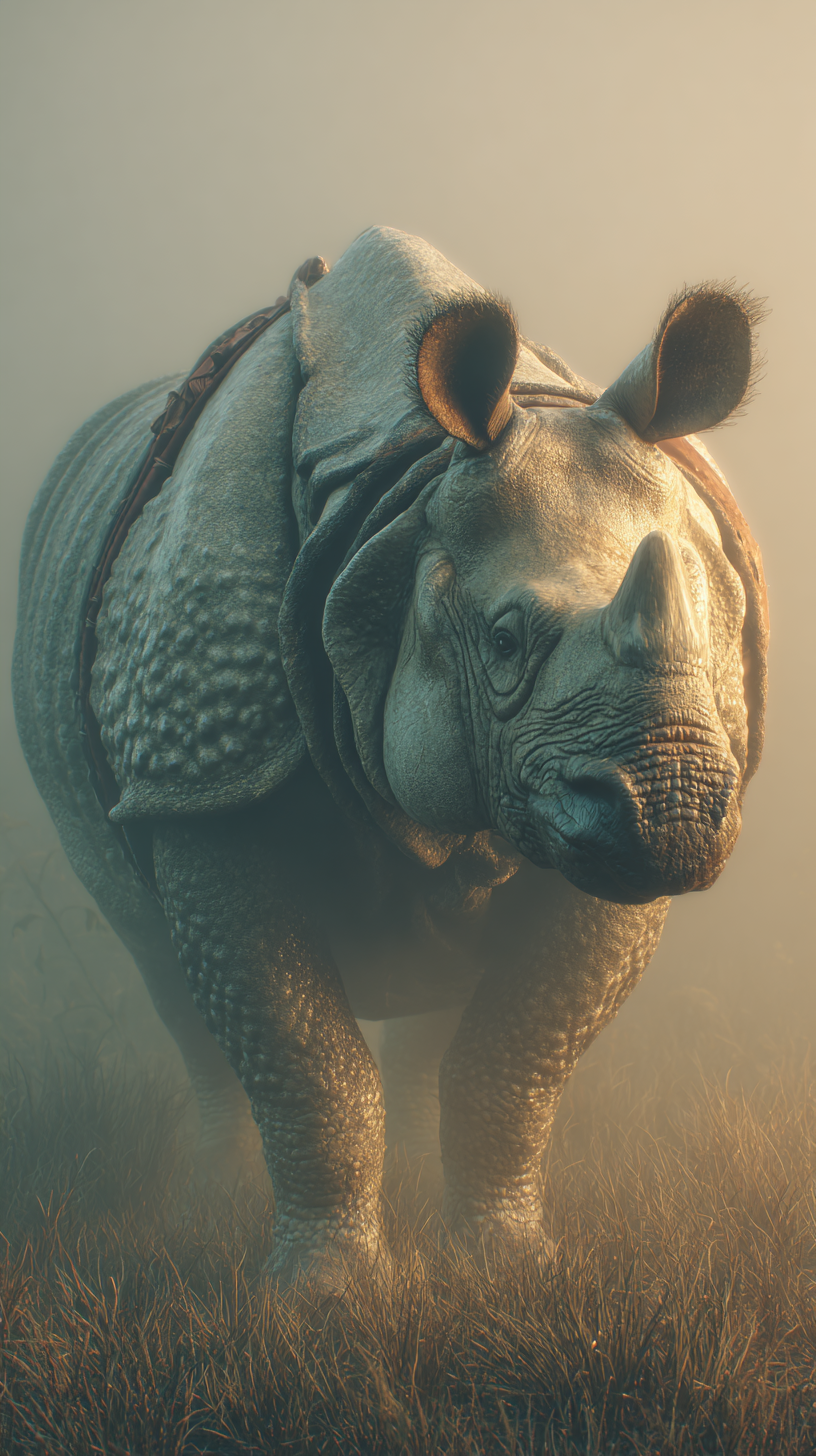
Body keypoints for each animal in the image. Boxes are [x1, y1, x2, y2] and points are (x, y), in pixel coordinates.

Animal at [13, 227, 767, 1291]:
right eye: (503, 641)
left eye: (713, 629)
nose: (675, 811)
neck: (398, 497)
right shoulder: (201, 777)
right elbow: (302, 1061)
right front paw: (325, 1299)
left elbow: (512, 1063)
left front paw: (506, 1271)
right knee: (158, 964)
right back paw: (201, 1211)